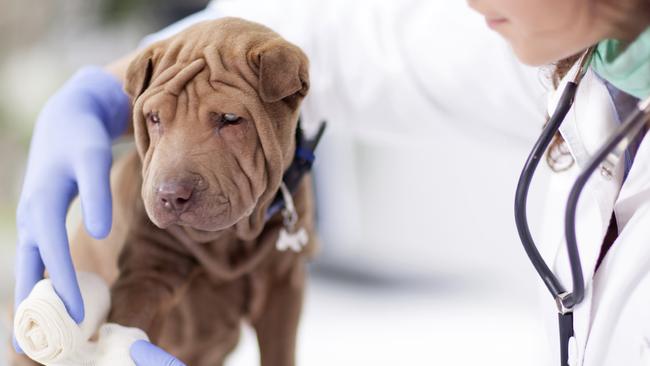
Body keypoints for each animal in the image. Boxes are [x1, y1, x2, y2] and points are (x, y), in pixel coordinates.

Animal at [12, 16, 316, 366]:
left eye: (230, 118)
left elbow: (279, 350)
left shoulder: (284, 284)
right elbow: (131, 323)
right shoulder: (146, 273)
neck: (230, 242)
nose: (170, 195)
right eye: (154, 118)